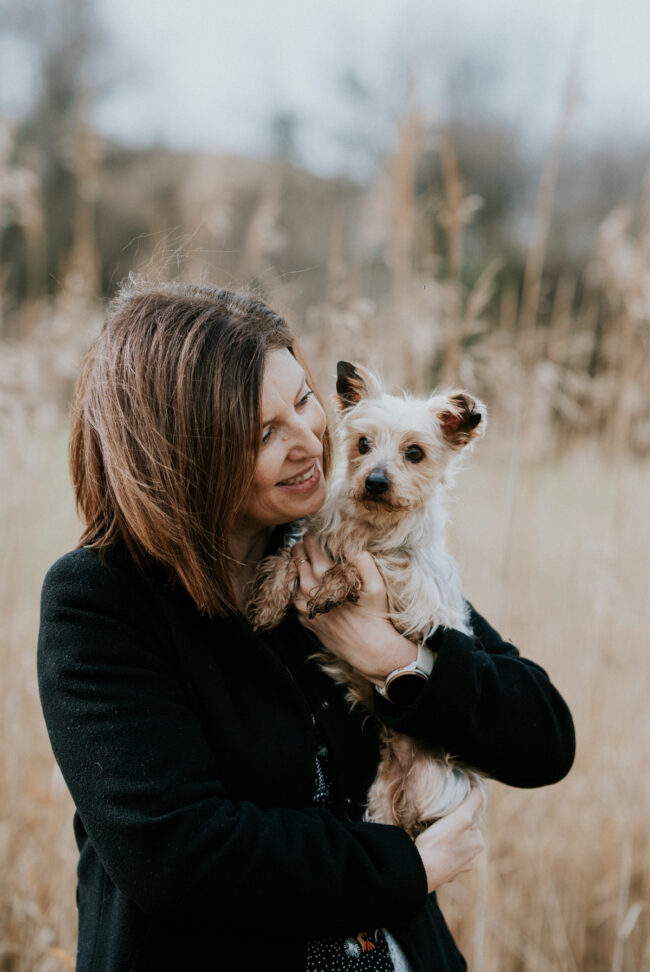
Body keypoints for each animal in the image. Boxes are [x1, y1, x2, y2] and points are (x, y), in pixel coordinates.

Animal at [246, 362, 484, 836]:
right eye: (362, 444)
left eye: (415, 453)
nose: (375, 481)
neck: (368, 526)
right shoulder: (311, 540)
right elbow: (286, 558)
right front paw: (270, 601)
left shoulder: (415, 595)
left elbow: (369, 563)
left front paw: (333, 584)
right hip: (379, 802)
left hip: (431, 787)